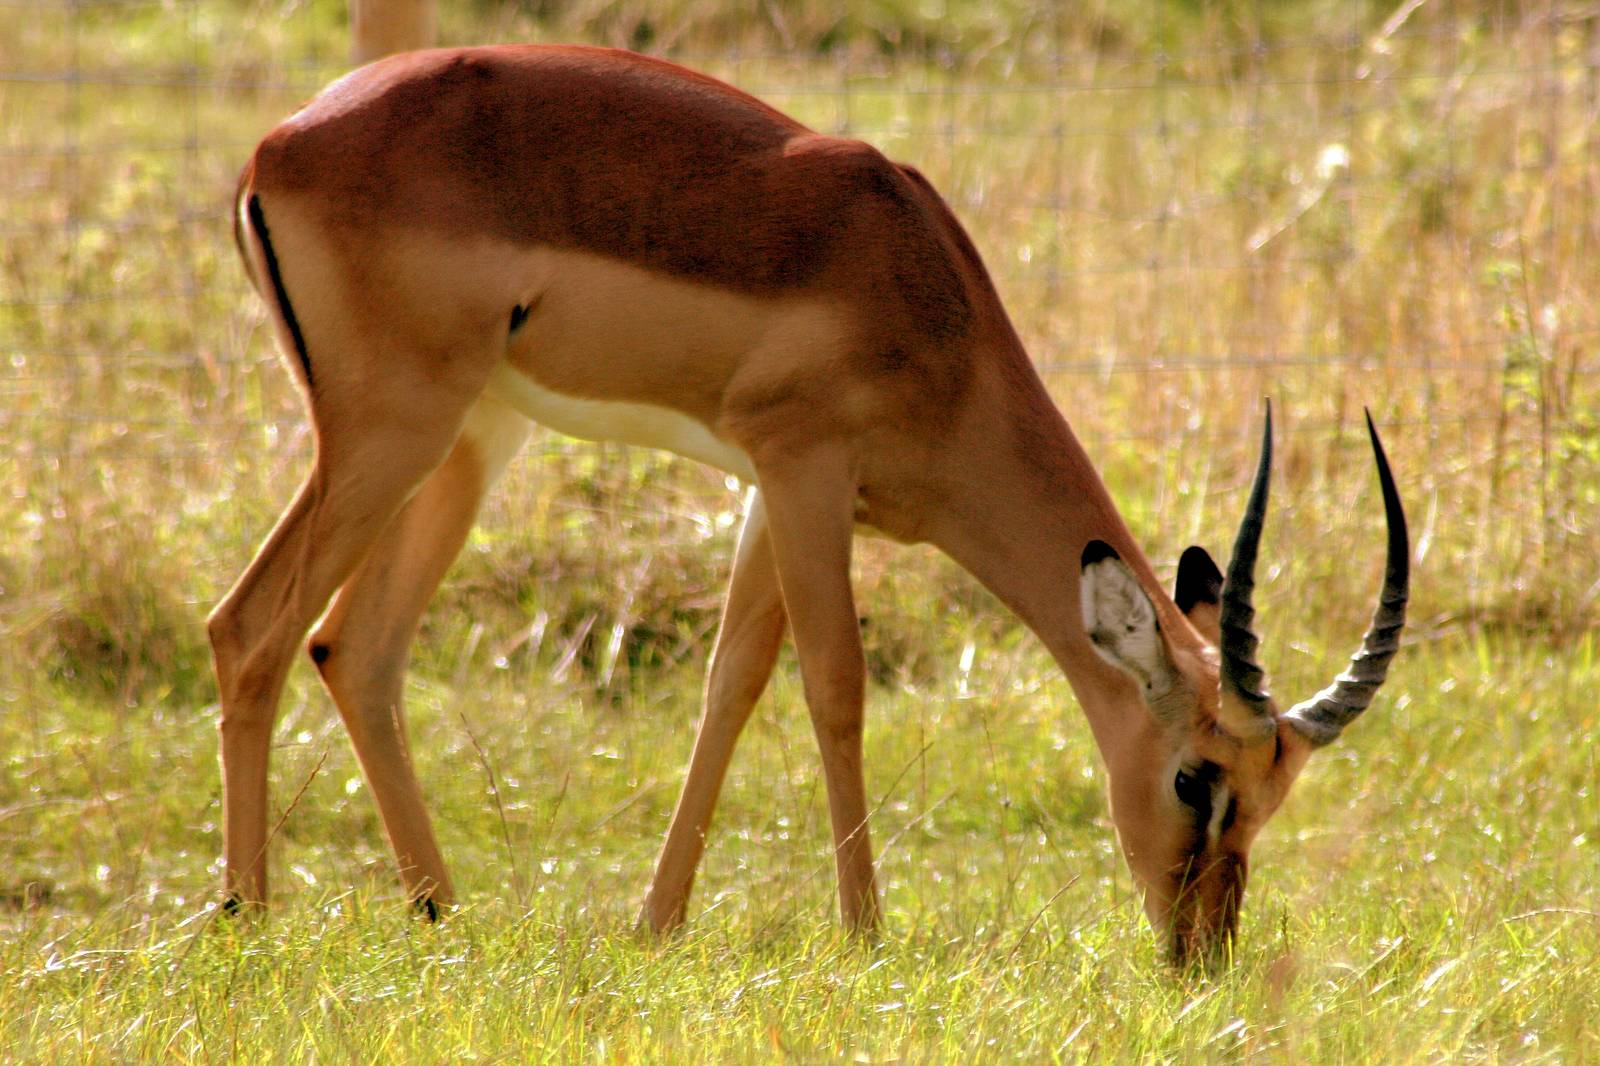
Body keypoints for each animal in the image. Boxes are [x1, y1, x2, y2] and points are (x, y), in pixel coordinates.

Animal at [212, 44, 1408, 963]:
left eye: (1272, 796)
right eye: (1195, 778)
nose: (1201, 951)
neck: (933, 311)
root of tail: (278, 147)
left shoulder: (765, 493)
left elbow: (730, 684)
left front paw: (656, 925)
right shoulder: (804, 471)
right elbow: (836, 687)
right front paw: (865, 933)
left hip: (470, 441)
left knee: (351, 646)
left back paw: (440, 915)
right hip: (389, 432)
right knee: (250, 627)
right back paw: (247, 919)